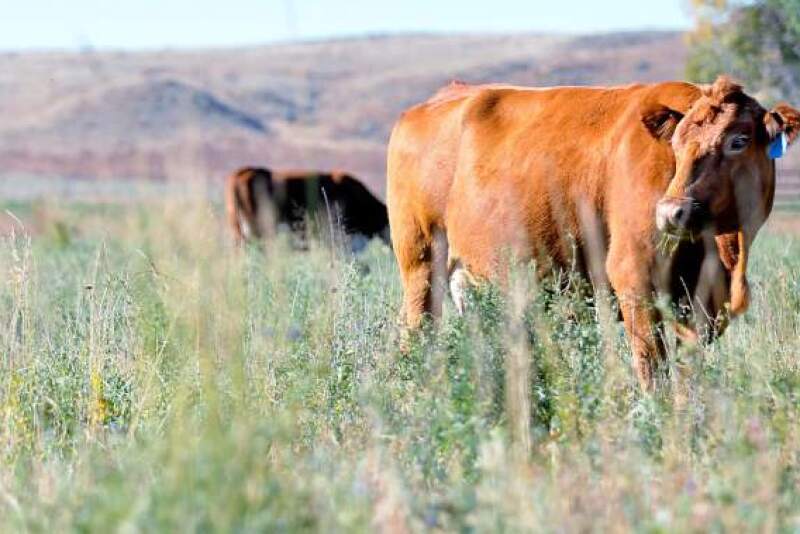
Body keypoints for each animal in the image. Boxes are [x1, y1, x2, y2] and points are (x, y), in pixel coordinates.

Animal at [386, 76, 799, 390]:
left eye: (738, 141)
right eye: (676, 144)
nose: (672, 211)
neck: (727, 252)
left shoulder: (699, 305)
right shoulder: (634, 279)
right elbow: (653, 374)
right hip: (421, 263)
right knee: (415, 337)